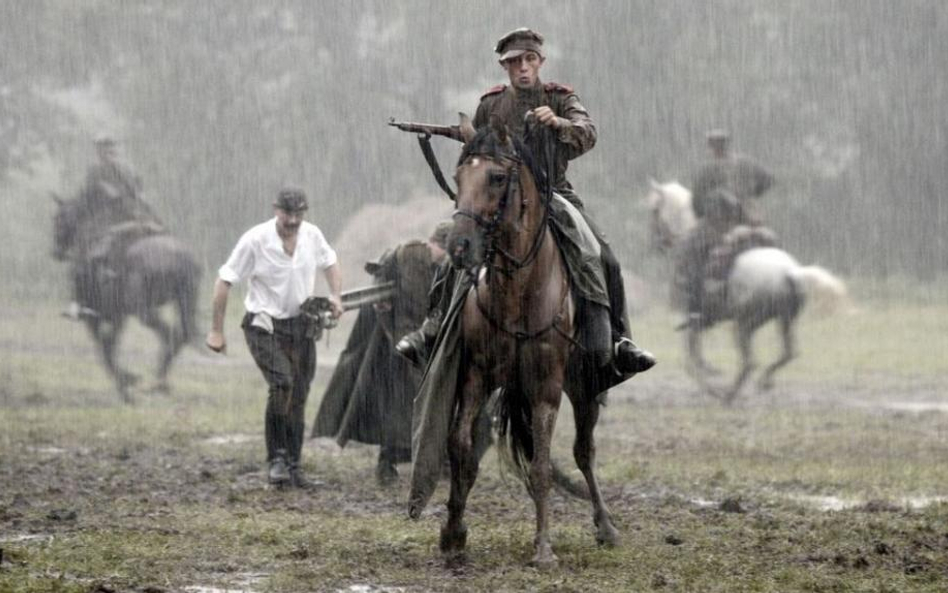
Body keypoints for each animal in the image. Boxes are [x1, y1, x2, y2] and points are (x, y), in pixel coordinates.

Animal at [51, 197, 200, 400]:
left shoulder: (97, 318)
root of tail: (180, 258)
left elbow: (104, 349)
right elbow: (109, 346)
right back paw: (160, 381)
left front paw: (126, 383)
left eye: (58, 219)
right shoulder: (118, 317)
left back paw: (158, 381)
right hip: (183, 302)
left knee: (170, 333)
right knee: (181, 334)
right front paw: (127, 383)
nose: (55, 252)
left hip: (144, 312)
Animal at [444, 114, 624, 564]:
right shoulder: (477, 375)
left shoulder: (546, 385)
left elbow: (542, 465)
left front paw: (543, 548)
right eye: (457, 176)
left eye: (496, 177)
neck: (517, 289)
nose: (460, 247)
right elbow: (460, 446)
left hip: (584, 386)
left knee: (583, 451)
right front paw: (453, 532)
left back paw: (606, 526)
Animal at [644, 180, 852, 402]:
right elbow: (694, 356)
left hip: (745, 326)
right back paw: (763, 382)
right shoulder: (699, 323)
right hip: (784, 321)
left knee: (750, 362)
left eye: (654, 210)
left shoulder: (693, 320)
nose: (657, 243)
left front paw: (711, 384)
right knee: (788, 353)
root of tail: (789, 273)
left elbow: (690, 359)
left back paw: (728, 394)